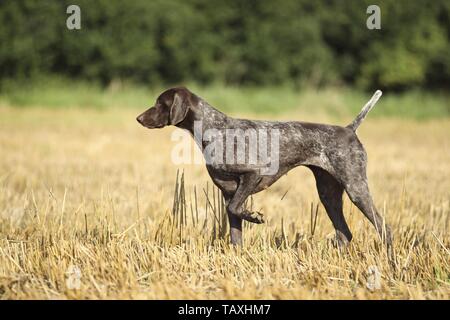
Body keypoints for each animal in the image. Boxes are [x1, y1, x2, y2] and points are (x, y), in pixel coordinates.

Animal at [136, 87, 390, 250]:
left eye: (160, 103)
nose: (138, 118)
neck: (213, 128)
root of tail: (349, 129)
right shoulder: (228, 192)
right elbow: (234, 228)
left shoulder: (253, 174)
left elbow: (237, 208)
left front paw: (255, 217)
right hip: (329, 195)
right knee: (344, 234)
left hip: (356, 189)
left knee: (384, 228)